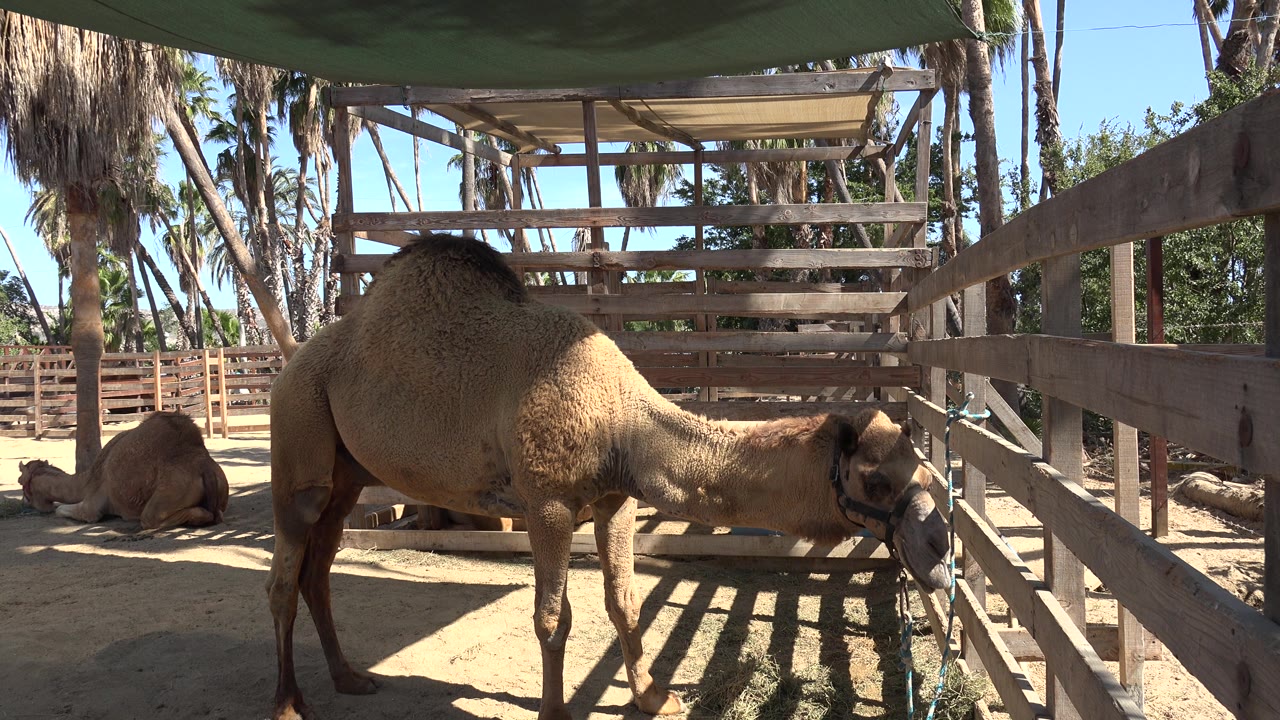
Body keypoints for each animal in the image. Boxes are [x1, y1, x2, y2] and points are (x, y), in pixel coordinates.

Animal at [18, 411, 229, 530]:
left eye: (21, 483)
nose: (27, 504)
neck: (87, 481)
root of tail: (204, 468)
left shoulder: (93, 505)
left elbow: (62, 509)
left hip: (171, 491)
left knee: (150, 518)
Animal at [267, 233, 950, 720]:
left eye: (922, 467)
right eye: (875, 480)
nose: (939, 545)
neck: (619, 418)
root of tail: (293, 360)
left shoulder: (616, 498)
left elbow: (624, 603)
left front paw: (654, 697)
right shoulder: (546, 501)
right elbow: (553, 618)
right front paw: (554, 713)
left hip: (348, 471)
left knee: (319, 570)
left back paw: (351, 679)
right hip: (298, 434)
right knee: (284, 576)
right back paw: (288, 705)